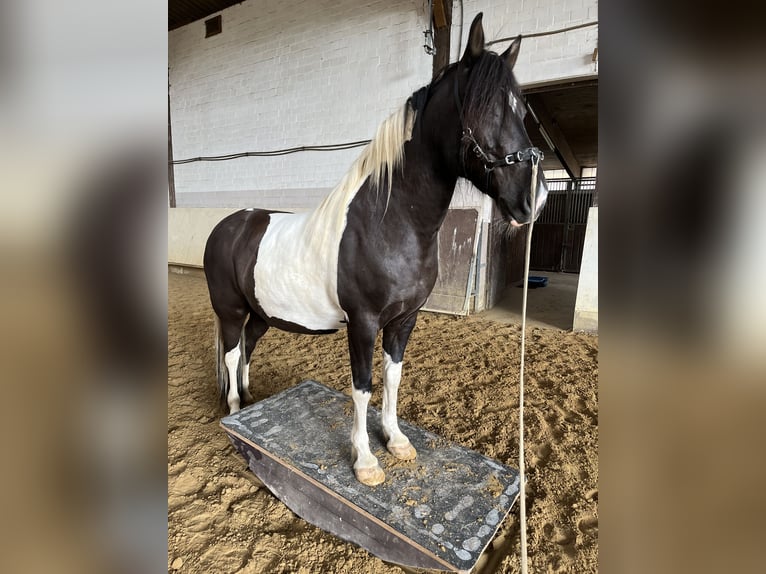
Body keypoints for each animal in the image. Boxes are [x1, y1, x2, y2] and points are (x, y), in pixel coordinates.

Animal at [206, 13, 544, 486]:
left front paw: (396, 441)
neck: (388, 224)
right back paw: (236, 407)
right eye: (484, 109)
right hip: (232, 311)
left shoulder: (404, 320)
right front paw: (365, 461)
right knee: (234, 351)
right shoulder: (363, 323)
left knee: (248, 350)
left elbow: (393, 378)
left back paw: (251, 398)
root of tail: (231, 224)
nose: (535, 198)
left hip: (261, 313)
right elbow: (362, 386)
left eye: (522, 110)